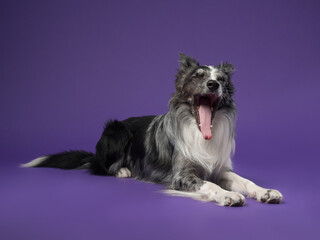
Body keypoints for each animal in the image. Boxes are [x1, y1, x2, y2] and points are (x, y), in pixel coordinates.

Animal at [21, 53, 282, 205]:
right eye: (198, 76)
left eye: (221, 80)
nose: (212, 84)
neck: (199, 132)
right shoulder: (181, 176)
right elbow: (210, 184)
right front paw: (227, 194)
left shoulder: (220, 169)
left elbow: (244, 181)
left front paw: (265, 191)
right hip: (116, 132)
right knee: (100, 167)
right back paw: (122, 170)